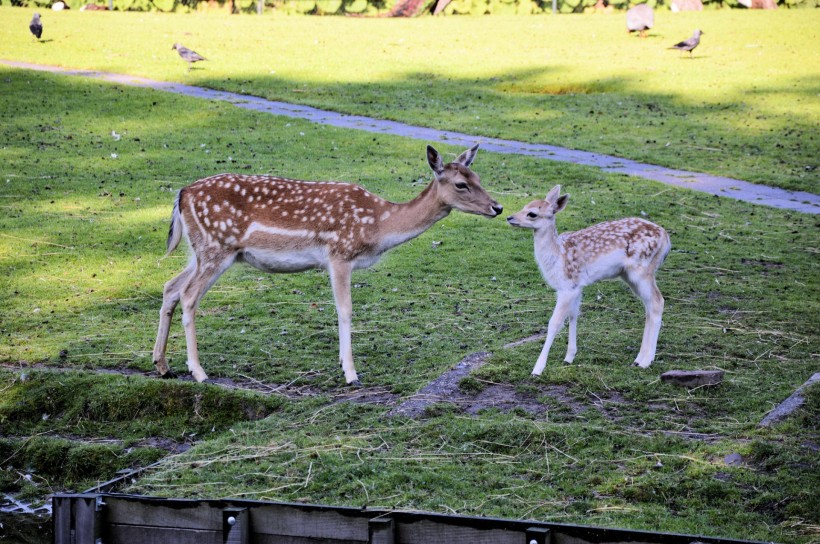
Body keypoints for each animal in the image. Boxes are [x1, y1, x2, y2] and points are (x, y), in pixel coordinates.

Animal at [151, 142, 502, 384]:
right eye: (460, 184)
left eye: (478, 176)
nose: (497, 207)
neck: (378, 225)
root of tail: (181, 194)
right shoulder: (339, 254)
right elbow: (345, 310)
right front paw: (351, 373)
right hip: (216, 247)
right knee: (188, 296)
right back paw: (199, 372)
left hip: (203, 250)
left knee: (170, 286)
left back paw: (163, 365)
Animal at [506, 185, 672, 376]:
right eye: (525, 205)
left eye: (532, 213)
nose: (509, 217)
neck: (558, 255)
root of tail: (667, 239)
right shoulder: (577, 286)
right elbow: (573, 315)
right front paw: (569, 357)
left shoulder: (567, 286)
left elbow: (554, 323)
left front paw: (537, 369)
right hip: (630, 276)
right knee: (649, 307)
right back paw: (638, 359)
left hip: (643, 270)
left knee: (658, 301)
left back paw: (646, 361)